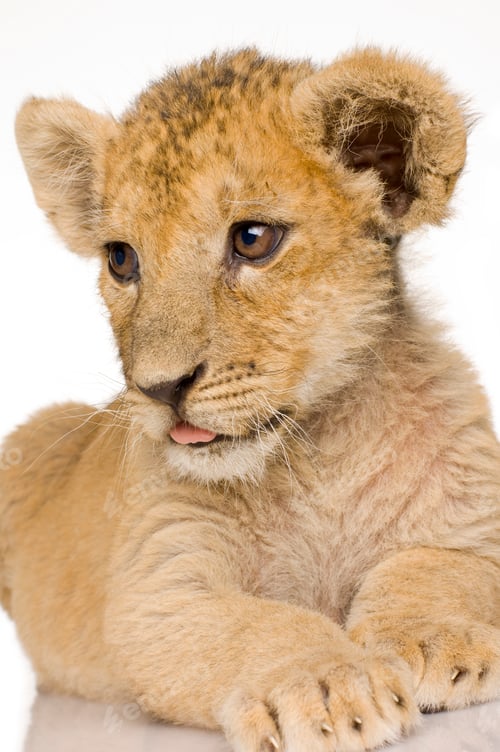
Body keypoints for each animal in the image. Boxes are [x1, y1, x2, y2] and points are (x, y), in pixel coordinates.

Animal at [1, 47, 499, 752]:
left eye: (253, 239)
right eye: (121, 259)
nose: (159, 387)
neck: (317, 452)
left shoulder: (472, 518)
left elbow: (441, 567)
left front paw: (432, 638)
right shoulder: (160, 588)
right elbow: (258, 627)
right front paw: (332, 683)